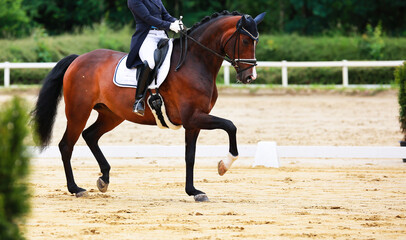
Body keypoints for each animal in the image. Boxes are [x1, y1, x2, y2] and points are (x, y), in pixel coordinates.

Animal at [32, 11, 266, 202]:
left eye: (256, 41)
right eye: (246, 40)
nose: (249, 77)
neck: (194, 62)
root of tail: (79, 58)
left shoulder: (193, 122)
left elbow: (190, 156)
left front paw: (193, 191)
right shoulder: (193, 117)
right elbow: (230, 126)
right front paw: (224, 165)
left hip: (112, 115)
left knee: (90, 135)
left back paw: (104, 178)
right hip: (78, 111)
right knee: (66, 145)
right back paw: (75, 188)